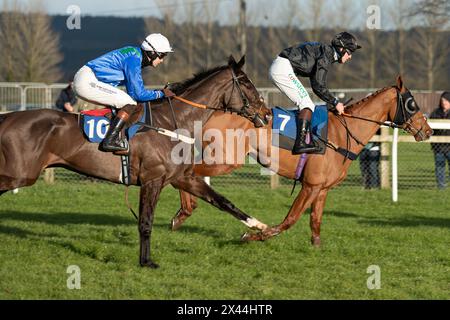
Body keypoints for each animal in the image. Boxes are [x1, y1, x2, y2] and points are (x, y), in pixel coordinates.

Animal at [0, 55, 270, 268]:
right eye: (247, 84)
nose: (267, 114)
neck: (171, 121)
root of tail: (8, 118)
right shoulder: (153, 180)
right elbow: (145, 223)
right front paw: (146, 261)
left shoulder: (182, 177)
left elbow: (223, 201)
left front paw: (260, 227)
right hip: (21, 174)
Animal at [171, 75, 432, 245]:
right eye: (412, 103)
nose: (428, 131)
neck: (342, 133)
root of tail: (215, 109)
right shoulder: (310, 185)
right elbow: (290, 219)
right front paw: (255, 235)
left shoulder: (322, 189)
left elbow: (315, 222)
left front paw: (317, 248)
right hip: (226, 160)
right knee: (187, 173)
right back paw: (185, 210)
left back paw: (184, 211)